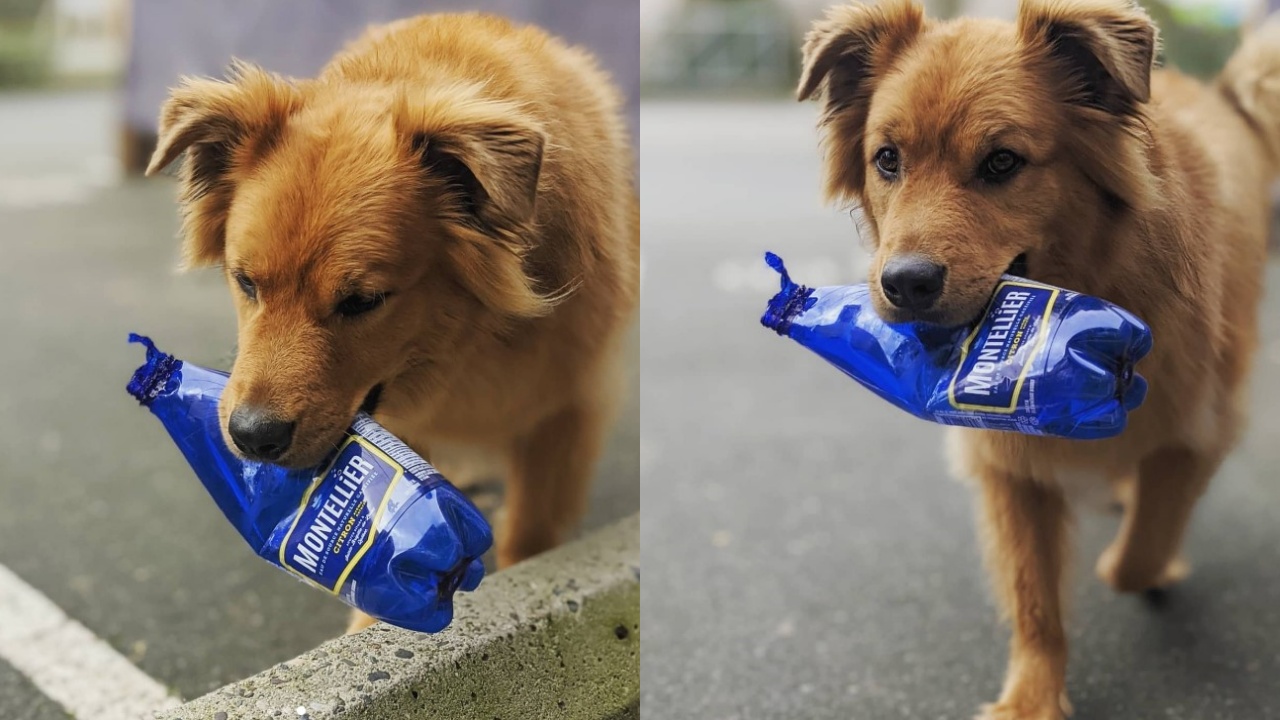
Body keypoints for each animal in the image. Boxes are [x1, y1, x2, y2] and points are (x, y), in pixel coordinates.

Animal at [147, 12, 637, 632]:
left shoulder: (564, 409)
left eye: (363, 301)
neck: (474, 343)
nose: (251, 437)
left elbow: (530, 531)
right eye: (246, 282)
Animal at [798, 1, 1280, 712]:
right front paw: (1031, 699)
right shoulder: (1007, 460)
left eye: (1002, 162)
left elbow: (1141, 548)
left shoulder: (1197, 427)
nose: (904, 284)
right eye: (887, 159)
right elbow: (1033, 595)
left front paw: (1147, 561)